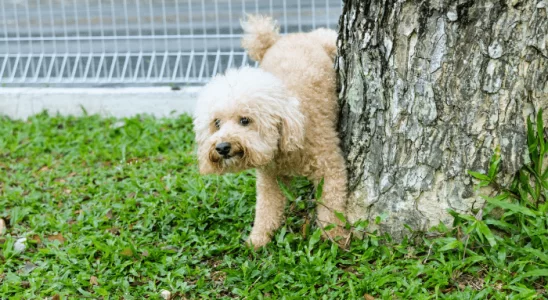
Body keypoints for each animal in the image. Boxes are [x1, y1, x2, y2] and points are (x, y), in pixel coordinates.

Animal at [193, 14, 346, 248]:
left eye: (245, 120)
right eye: (216, 123)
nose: (222, 147)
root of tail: (281, 39)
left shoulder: (331, 168)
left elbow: (332, 208)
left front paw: (334, 238)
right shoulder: (269, 178)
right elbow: (266, 209)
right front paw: (257, 240)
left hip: (328, 40)